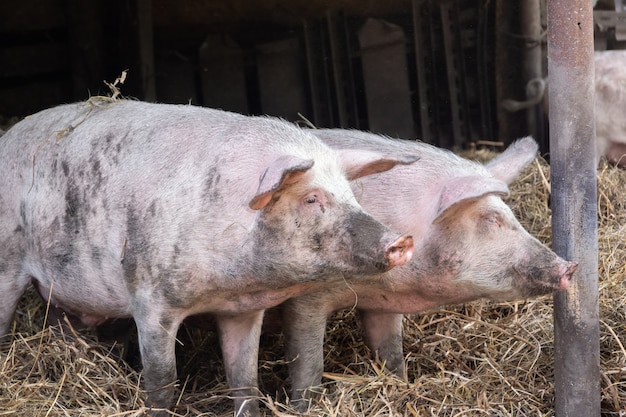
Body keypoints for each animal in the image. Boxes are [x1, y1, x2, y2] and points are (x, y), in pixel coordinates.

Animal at [0, 101, 414, 416]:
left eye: (350, 194)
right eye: (311, 198)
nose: (402, 240)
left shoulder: (243, 310)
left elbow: (245, 380)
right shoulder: (150, 298)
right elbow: (163, 382)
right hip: (7, 260)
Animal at [282, 130, 576, 406]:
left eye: (513, 215)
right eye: (492, 219)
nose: (569, 267)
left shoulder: (380, 301)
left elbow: (391, 352)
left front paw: (400, 383)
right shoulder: (306, 300)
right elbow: (309, 363)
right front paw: (303, 405)